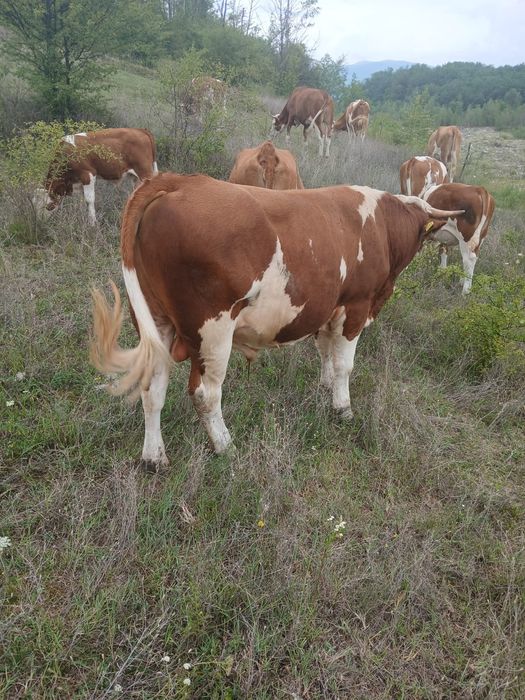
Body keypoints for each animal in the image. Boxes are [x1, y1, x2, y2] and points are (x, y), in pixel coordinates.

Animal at [90, 172, 463, 464]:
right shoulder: (356, 305)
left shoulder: (328, 307)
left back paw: (154, 457)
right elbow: (344, 364)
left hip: (156, 322)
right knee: (205, 394)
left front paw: (325, 387)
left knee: (152, 387)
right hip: (213, 330)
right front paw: (342, 408)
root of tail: (180, 181)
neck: (382, 225)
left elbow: (326, 352)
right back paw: (226, 447)